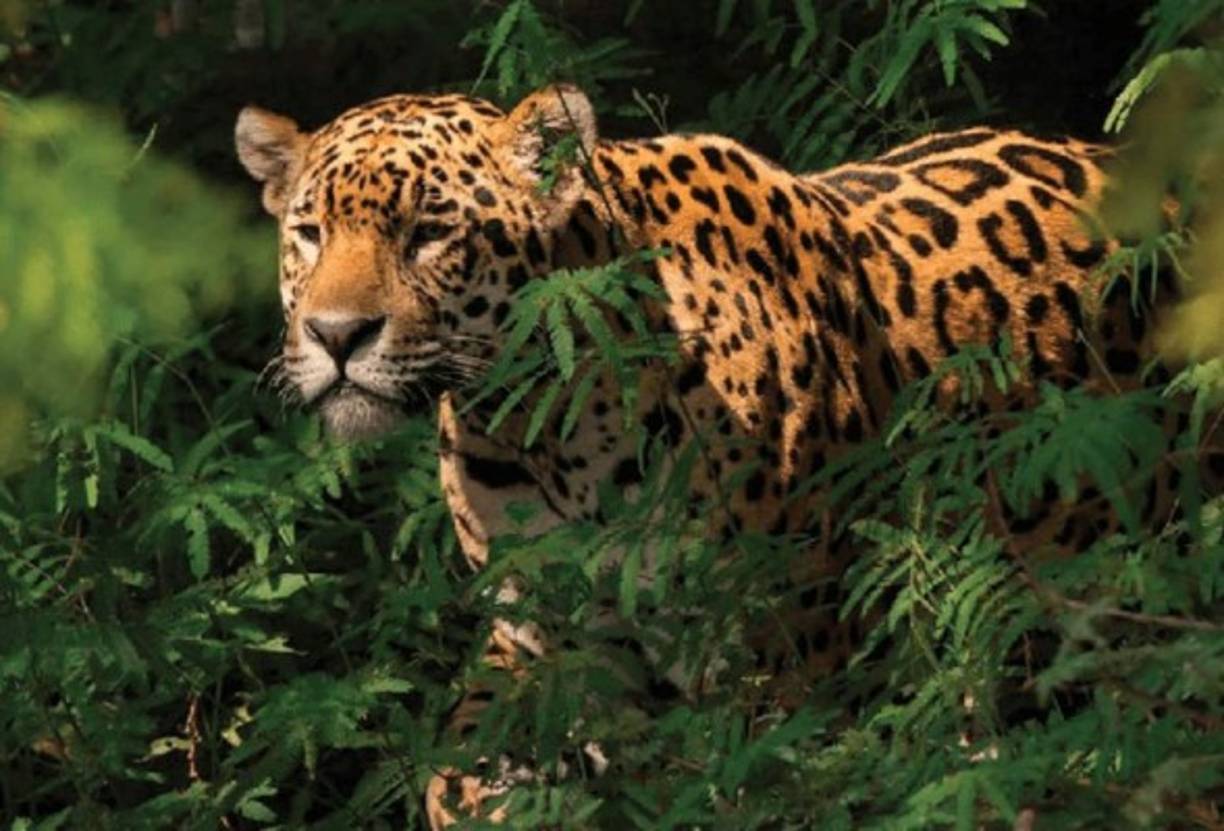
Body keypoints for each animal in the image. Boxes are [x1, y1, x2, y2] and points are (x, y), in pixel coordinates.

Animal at [235, 84, 1195, 827]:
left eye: (432, 232)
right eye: (310, 232)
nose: (336, 334)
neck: (546, 427)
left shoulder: (779, 652)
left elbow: (750, 790)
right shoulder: (547, 642)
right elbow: (468, 767)